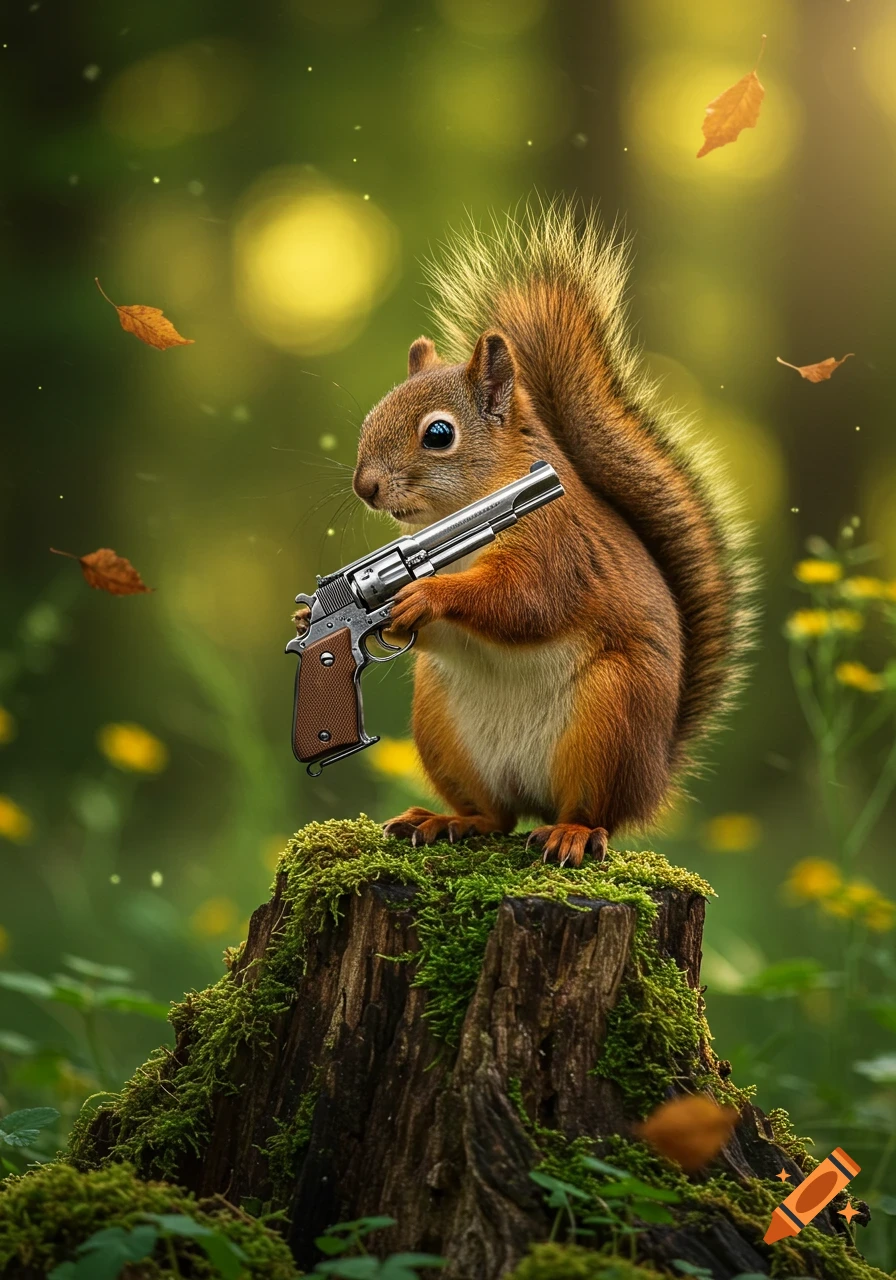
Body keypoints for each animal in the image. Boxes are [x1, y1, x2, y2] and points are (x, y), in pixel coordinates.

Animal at [348, 200, 753, 866]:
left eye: (439, 434)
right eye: (370, 416)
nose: (366, 487)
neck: (453, 520)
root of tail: (655, 776)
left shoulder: (557, 545)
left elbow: (527, 601)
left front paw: (425, 596)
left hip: (610, 719)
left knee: (595, 814)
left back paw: (571, 834)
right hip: (442, 727)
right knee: (495, 815)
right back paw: (446, 820)